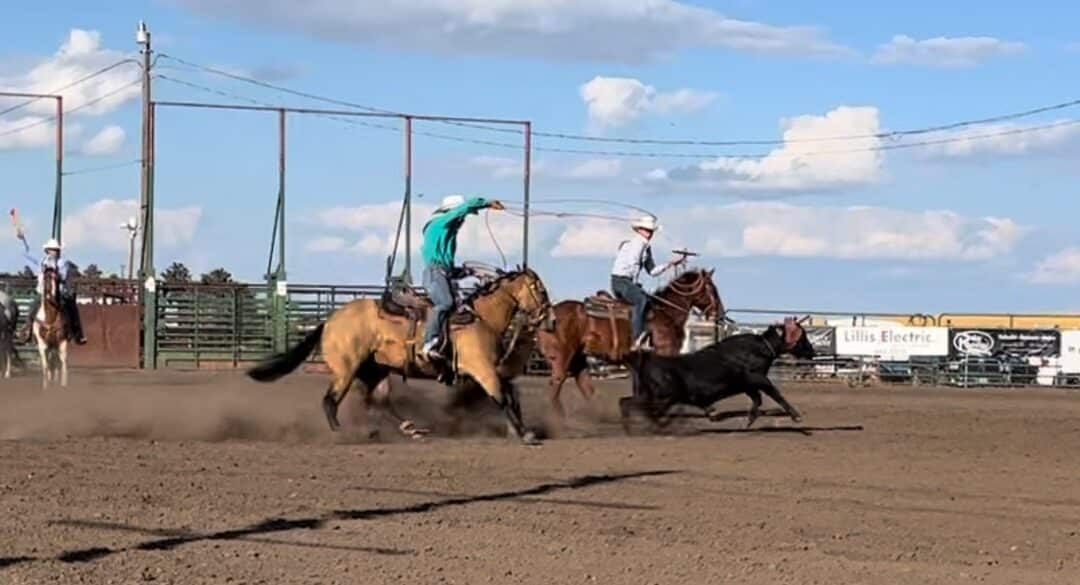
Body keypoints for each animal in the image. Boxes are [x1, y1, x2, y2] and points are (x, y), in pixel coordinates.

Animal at [245, 269, 548, 444]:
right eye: (539, 289)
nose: (549, 318)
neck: (482, 318)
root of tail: (330, 320)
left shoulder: (493, 370)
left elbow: (512, 394)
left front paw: (521, 429)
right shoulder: (482, 369)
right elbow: (503, 397)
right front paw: (525, 434)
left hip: (375, 371)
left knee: (377, 403)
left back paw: (408, 428)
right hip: (347, 369)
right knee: (331, 401)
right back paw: (347, 433)